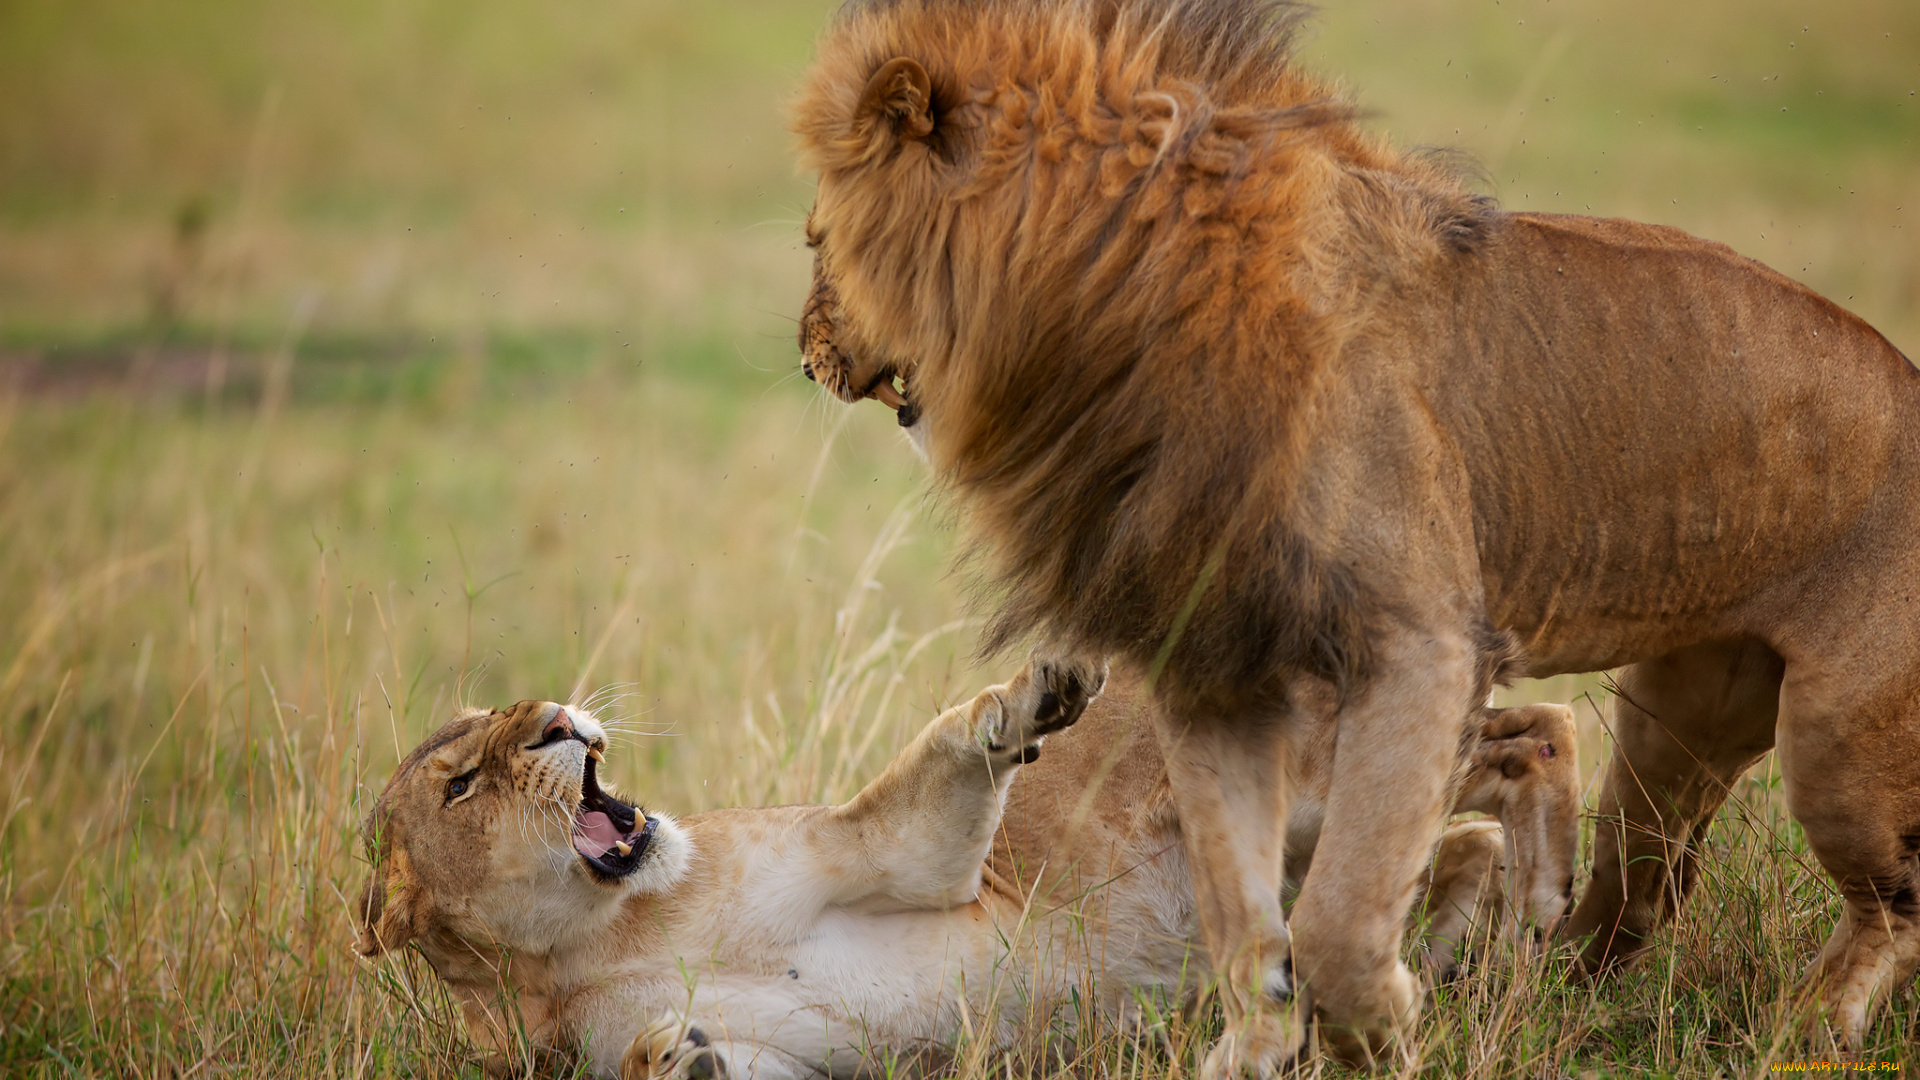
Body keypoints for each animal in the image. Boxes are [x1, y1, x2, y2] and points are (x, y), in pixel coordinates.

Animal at [357, 661, 1574, 1068]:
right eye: (462, 783)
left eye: (520, 711)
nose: (562, 719)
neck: (603, 938)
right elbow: (700, 1057)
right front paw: (681, 1057)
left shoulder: (881, 852)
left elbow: (952, 749)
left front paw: (1035, 697)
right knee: (1481, 807)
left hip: (1310, 774)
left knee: (1534, 732)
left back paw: (1549, 901)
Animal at [791, 0, 1920, 1060]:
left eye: (818, 239)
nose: (806, 357)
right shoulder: (1213, 661)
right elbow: (1242, 912)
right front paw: (1266, 1033)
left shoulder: (1424, 643)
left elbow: (1338, 913)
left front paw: (1378, 1032)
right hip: (1674, 727)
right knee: (1640, 881)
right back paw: (1550, 964)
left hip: (1836, 747)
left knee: (1891, 902)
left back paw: (1809, 1027)